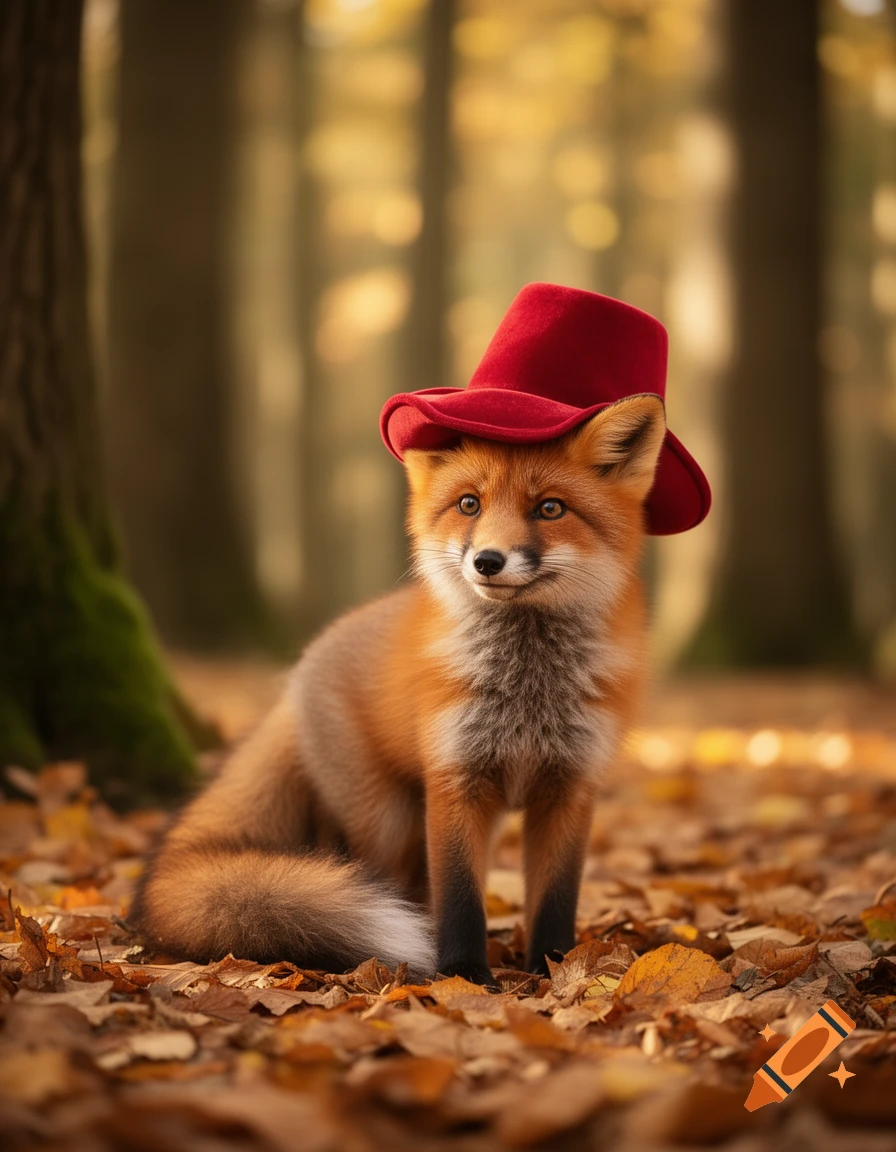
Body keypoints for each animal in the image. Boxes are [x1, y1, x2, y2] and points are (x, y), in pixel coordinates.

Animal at [133, 393, 666, 986]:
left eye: (550, 509)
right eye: (469, 504)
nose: (487, 561)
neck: (527, 689)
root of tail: (300, 670)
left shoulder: (571, 787)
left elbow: (555, 899)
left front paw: (557, 969)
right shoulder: (454, 781)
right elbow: (459, 895)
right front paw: (464, 974)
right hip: (385, 820)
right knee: (371, 876)